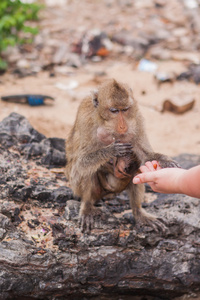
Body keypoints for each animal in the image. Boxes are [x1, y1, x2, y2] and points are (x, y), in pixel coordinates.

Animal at [65, 79, 180, 232]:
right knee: (86, 171)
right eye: (114, 111)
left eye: (125, 110)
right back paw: (87, 206)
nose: (122, 126)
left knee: (136, 170)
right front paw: (112, 150)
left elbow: (146, 154)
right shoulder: (86, 120)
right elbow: (81, 163)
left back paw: (138, 212)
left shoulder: (137, 117)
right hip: (79, 186)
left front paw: (164, 160)